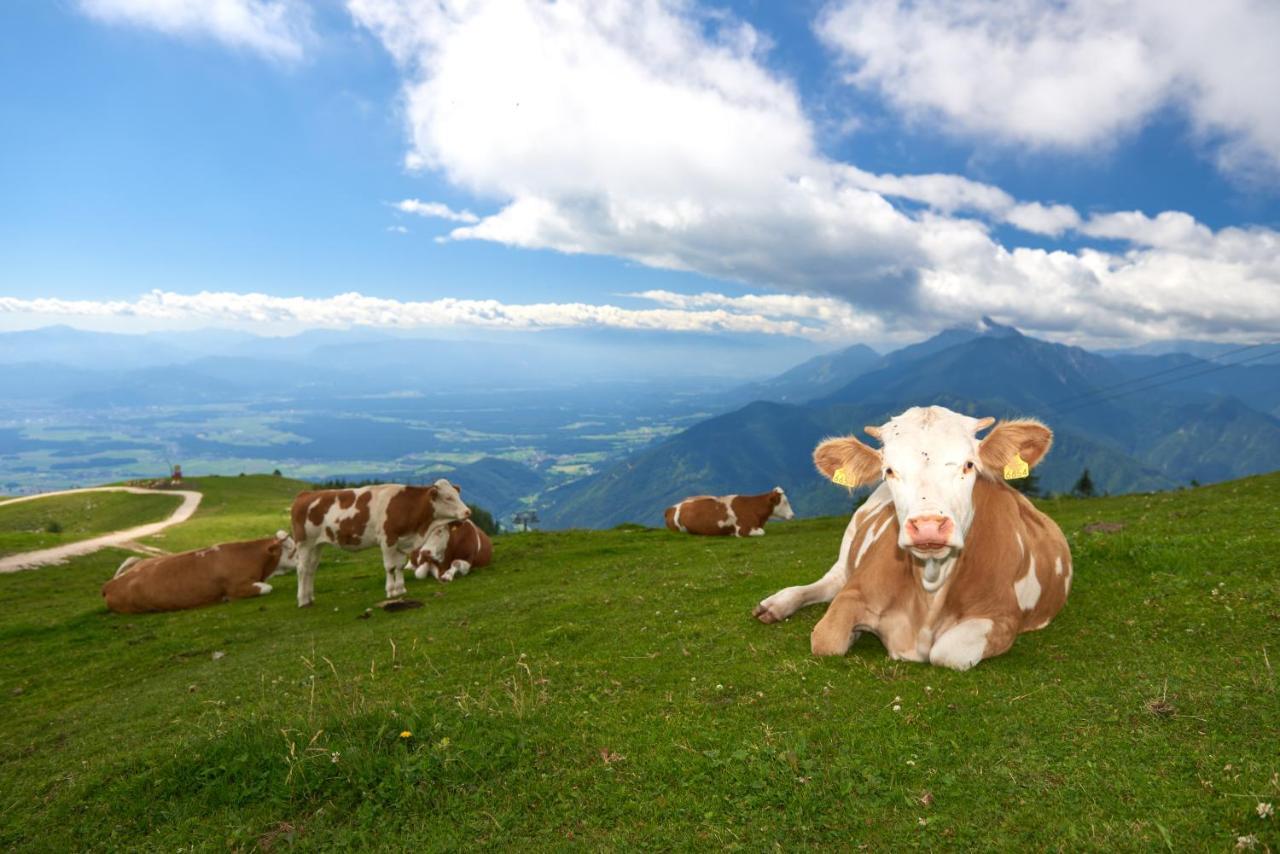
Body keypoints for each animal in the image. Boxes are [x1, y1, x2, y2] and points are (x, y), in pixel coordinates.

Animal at [290, 481, 471, 606]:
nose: (467, 511)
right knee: (302, 569)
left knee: (311, 569)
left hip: (316, 545)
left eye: (457, 495)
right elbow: (390, 567)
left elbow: (399, 566)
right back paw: (302, 600)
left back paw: (309, 597)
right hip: (304, 543)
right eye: (448, 497)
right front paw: (390, 591)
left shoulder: (402, 541)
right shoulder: (387, 540)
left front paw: (401, 589)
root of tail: (304, 495)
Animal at [747, 409, 1070, 676]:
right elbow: (826, 639)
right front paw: (852, 634)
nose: (928, 526)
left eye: (969, 465)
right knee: (827, 583)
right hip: (848, 543)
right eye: (889, 470)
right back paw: (776, 604)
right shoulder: (855, 592)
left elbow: (948, 653)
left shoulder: (1002, 617)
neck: (929, 586)